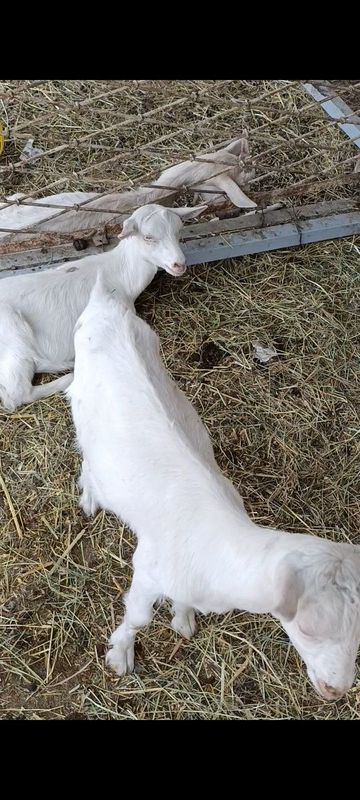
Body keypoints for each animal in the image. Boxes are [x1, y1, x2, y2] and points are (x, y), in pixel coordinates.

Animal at [0, 200, 204, 412]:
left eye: (178, 231)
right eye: (148, 237)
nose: (179, 264)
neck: (121, 273)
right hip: (13, 336)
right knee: (16, 394)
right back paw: (68, 374)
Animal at [68, 278, 360, 704]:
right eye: (307, 628)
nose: (335, 691)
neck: (219, 552)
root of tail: (106, 301)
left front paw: (182, 618)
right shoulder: (148, 569)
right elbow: (138, 616)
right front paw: (120, 654)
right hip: (81, 404)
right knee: (87, 454)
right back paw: (89, 496)